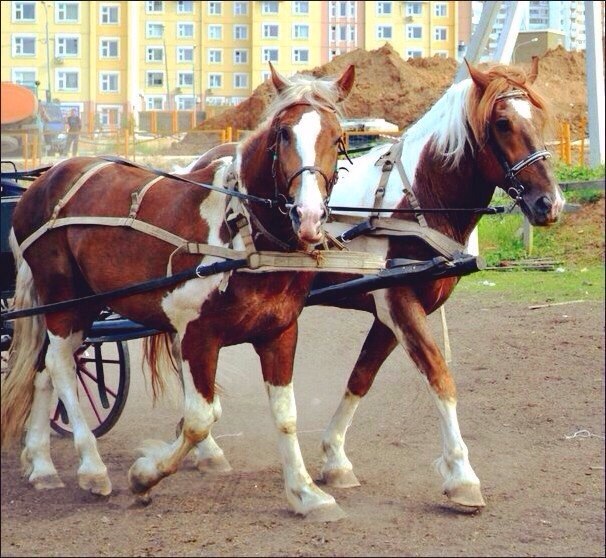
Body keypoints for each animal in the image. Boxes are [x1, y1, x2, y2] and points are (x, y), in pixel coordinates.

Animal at [1, 62, 355, 519]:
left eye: (338, 137)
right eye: (282, 133)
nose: (308, 217)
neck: (242, 232)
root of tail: (44, 180)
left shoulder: (279, 332)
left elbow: (285, 414)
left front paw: (306, 492)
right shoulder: (198, 335)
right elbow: (200, 418)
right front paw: (144, 476)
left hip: (82, 305)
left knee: (45, 371)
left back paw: (42, 465)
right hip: (63, 299)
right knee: (60, 366)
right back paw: (92, 468)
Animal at [187, 58, 565, 509]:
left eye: (539, 118)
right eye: (503, 123)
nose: (550, 203)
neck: (417, 198)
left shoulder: (390, 313)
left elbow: (361, 377)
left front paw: (335, 458)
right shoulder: (399, 301)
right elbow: (439, 376)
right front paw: (462, 476)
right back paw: (205, 449)